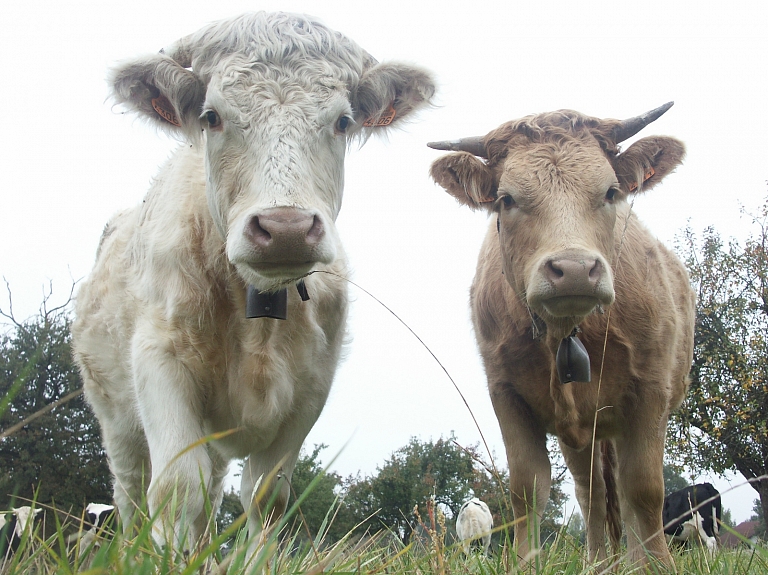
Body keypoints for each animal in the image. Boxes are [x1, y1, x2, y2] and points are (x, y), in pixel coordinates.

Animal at [74, 10, 436, 552]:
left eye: (343, 121)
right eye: (211, 117)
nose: (285, 228)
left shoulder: (309, 391)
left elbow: (266, 499)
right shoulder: (160, 361)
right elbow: (176, 488)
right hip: (115, 418)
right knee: (133, 493)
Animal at [428, 104, 692, 568]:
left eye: (610, 192)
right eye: (507, 199)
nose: (574, 269)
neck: (565, 332)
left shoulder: (651, 392)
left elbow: (644, 489)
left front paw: (658, 567)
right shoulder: (506, 395)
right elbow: (526, 491)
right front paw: (524, 564)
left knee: (620, 494)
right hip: (580, 431)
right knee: (593, 494)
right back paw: (599, 563)